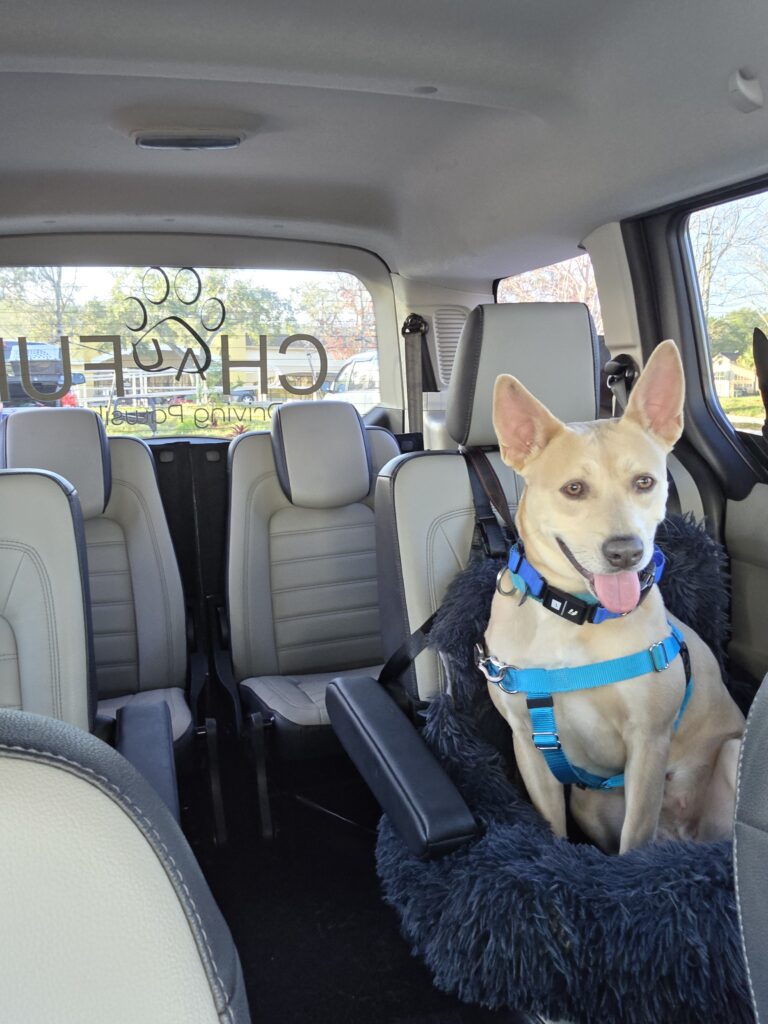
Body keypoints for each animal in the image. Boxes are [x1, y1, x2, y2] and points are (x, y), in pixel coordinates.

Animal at [483, 340, 745, 854]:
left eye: (644, 482)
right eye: (573, 489)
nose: (626, 552)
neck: (573, 614)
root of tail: (680, 834)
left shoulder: (648, 742)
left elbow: (635, 836)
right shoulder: (528, 742)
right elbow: (551, 822)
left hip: (731, 751)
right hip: (590, 801)